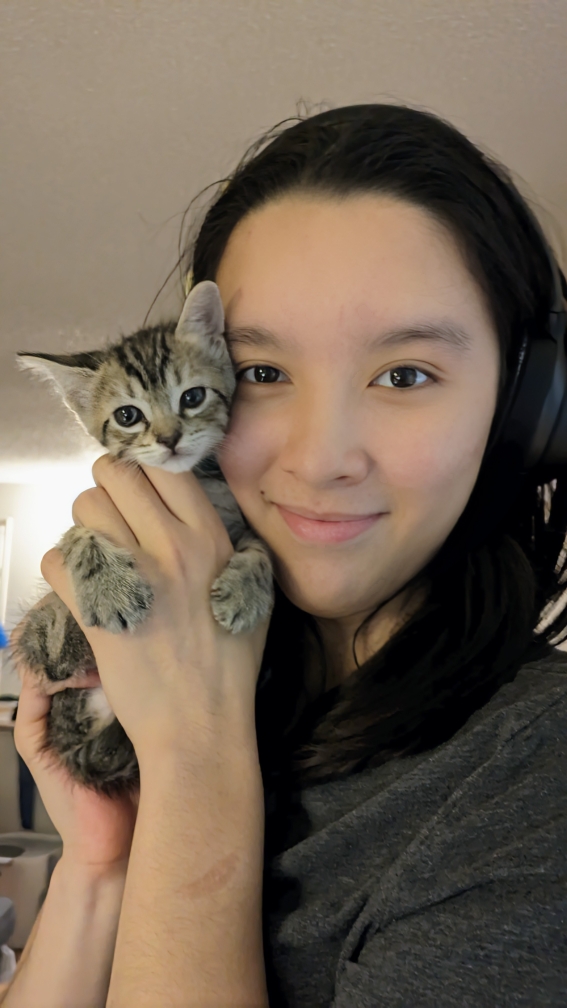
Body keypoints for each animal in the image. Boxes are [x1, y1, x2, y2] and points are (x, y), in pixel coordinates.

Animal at [16, 280, 272, 790]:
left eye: (192, 397)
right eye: (128, 416)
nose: (171, 439)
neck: (199, 482)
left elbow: (263, 548)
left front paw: (245, 592)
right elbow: (77, 534)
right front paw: (110, 587)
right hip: (48, 647)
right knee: (55, 650)